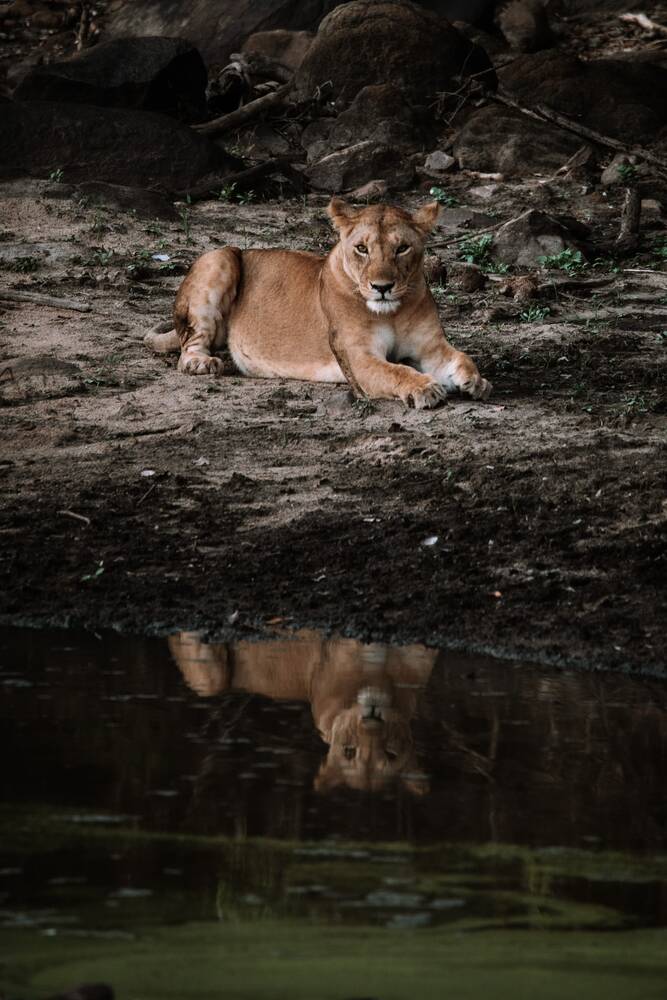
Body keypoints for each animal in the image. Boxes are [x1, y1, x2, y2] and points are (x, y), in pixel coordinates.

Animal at [145, 199, 491, 409]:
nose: (382, 288)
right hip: (220, 256)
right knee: (188, 347)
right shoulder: (358, 358)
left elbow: (462, 357)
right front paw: (425, 388)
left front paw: (477, 381)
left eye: (402, 248)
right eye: (362, 248)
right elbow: (397, 372)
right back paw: (203, 363)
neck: (392, 312)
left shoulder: (431, 347)